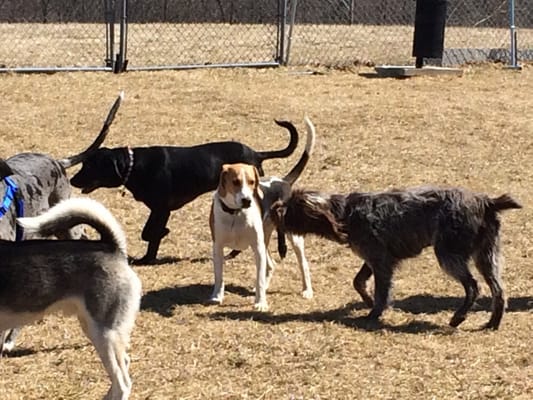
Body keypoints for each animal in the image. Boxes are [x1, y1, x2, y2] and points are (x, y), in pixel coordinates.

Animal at [66, 119, 300, 264]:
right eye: (84, 164)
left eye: (90, 166)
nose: (72, 180)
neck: (135, 166)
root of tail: (257, 154)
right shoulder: (158, 209)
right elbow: (148, 233)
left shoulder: (162, 209)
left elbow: (150, 234)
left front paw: (154, 249)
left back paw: (280, 249)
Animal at [208, 163, 266, 312]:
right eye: (235, 182)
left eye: (252, 182)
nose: (246, 200)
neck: (235, 213)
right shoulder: (218, 247)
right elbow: (219, 276)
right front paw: (217, 296)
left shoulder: (258, 248)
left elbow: (260, 279)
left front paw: (261, 302)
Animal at [272, 186, 520, 330]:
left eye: (291, 206)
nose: (275, 207)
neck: (345, 214)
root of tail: (487, 202)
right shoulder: (372, 259)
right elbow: (358, 281)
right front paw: (368, 301)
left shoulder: (381, 261)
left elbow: (381, 291)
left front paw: (374, 313)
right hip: (486, 256)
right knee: (499, 291)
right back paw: (492, 323)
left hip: (448, 255)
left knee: (473, 286)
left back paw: (458, 317)